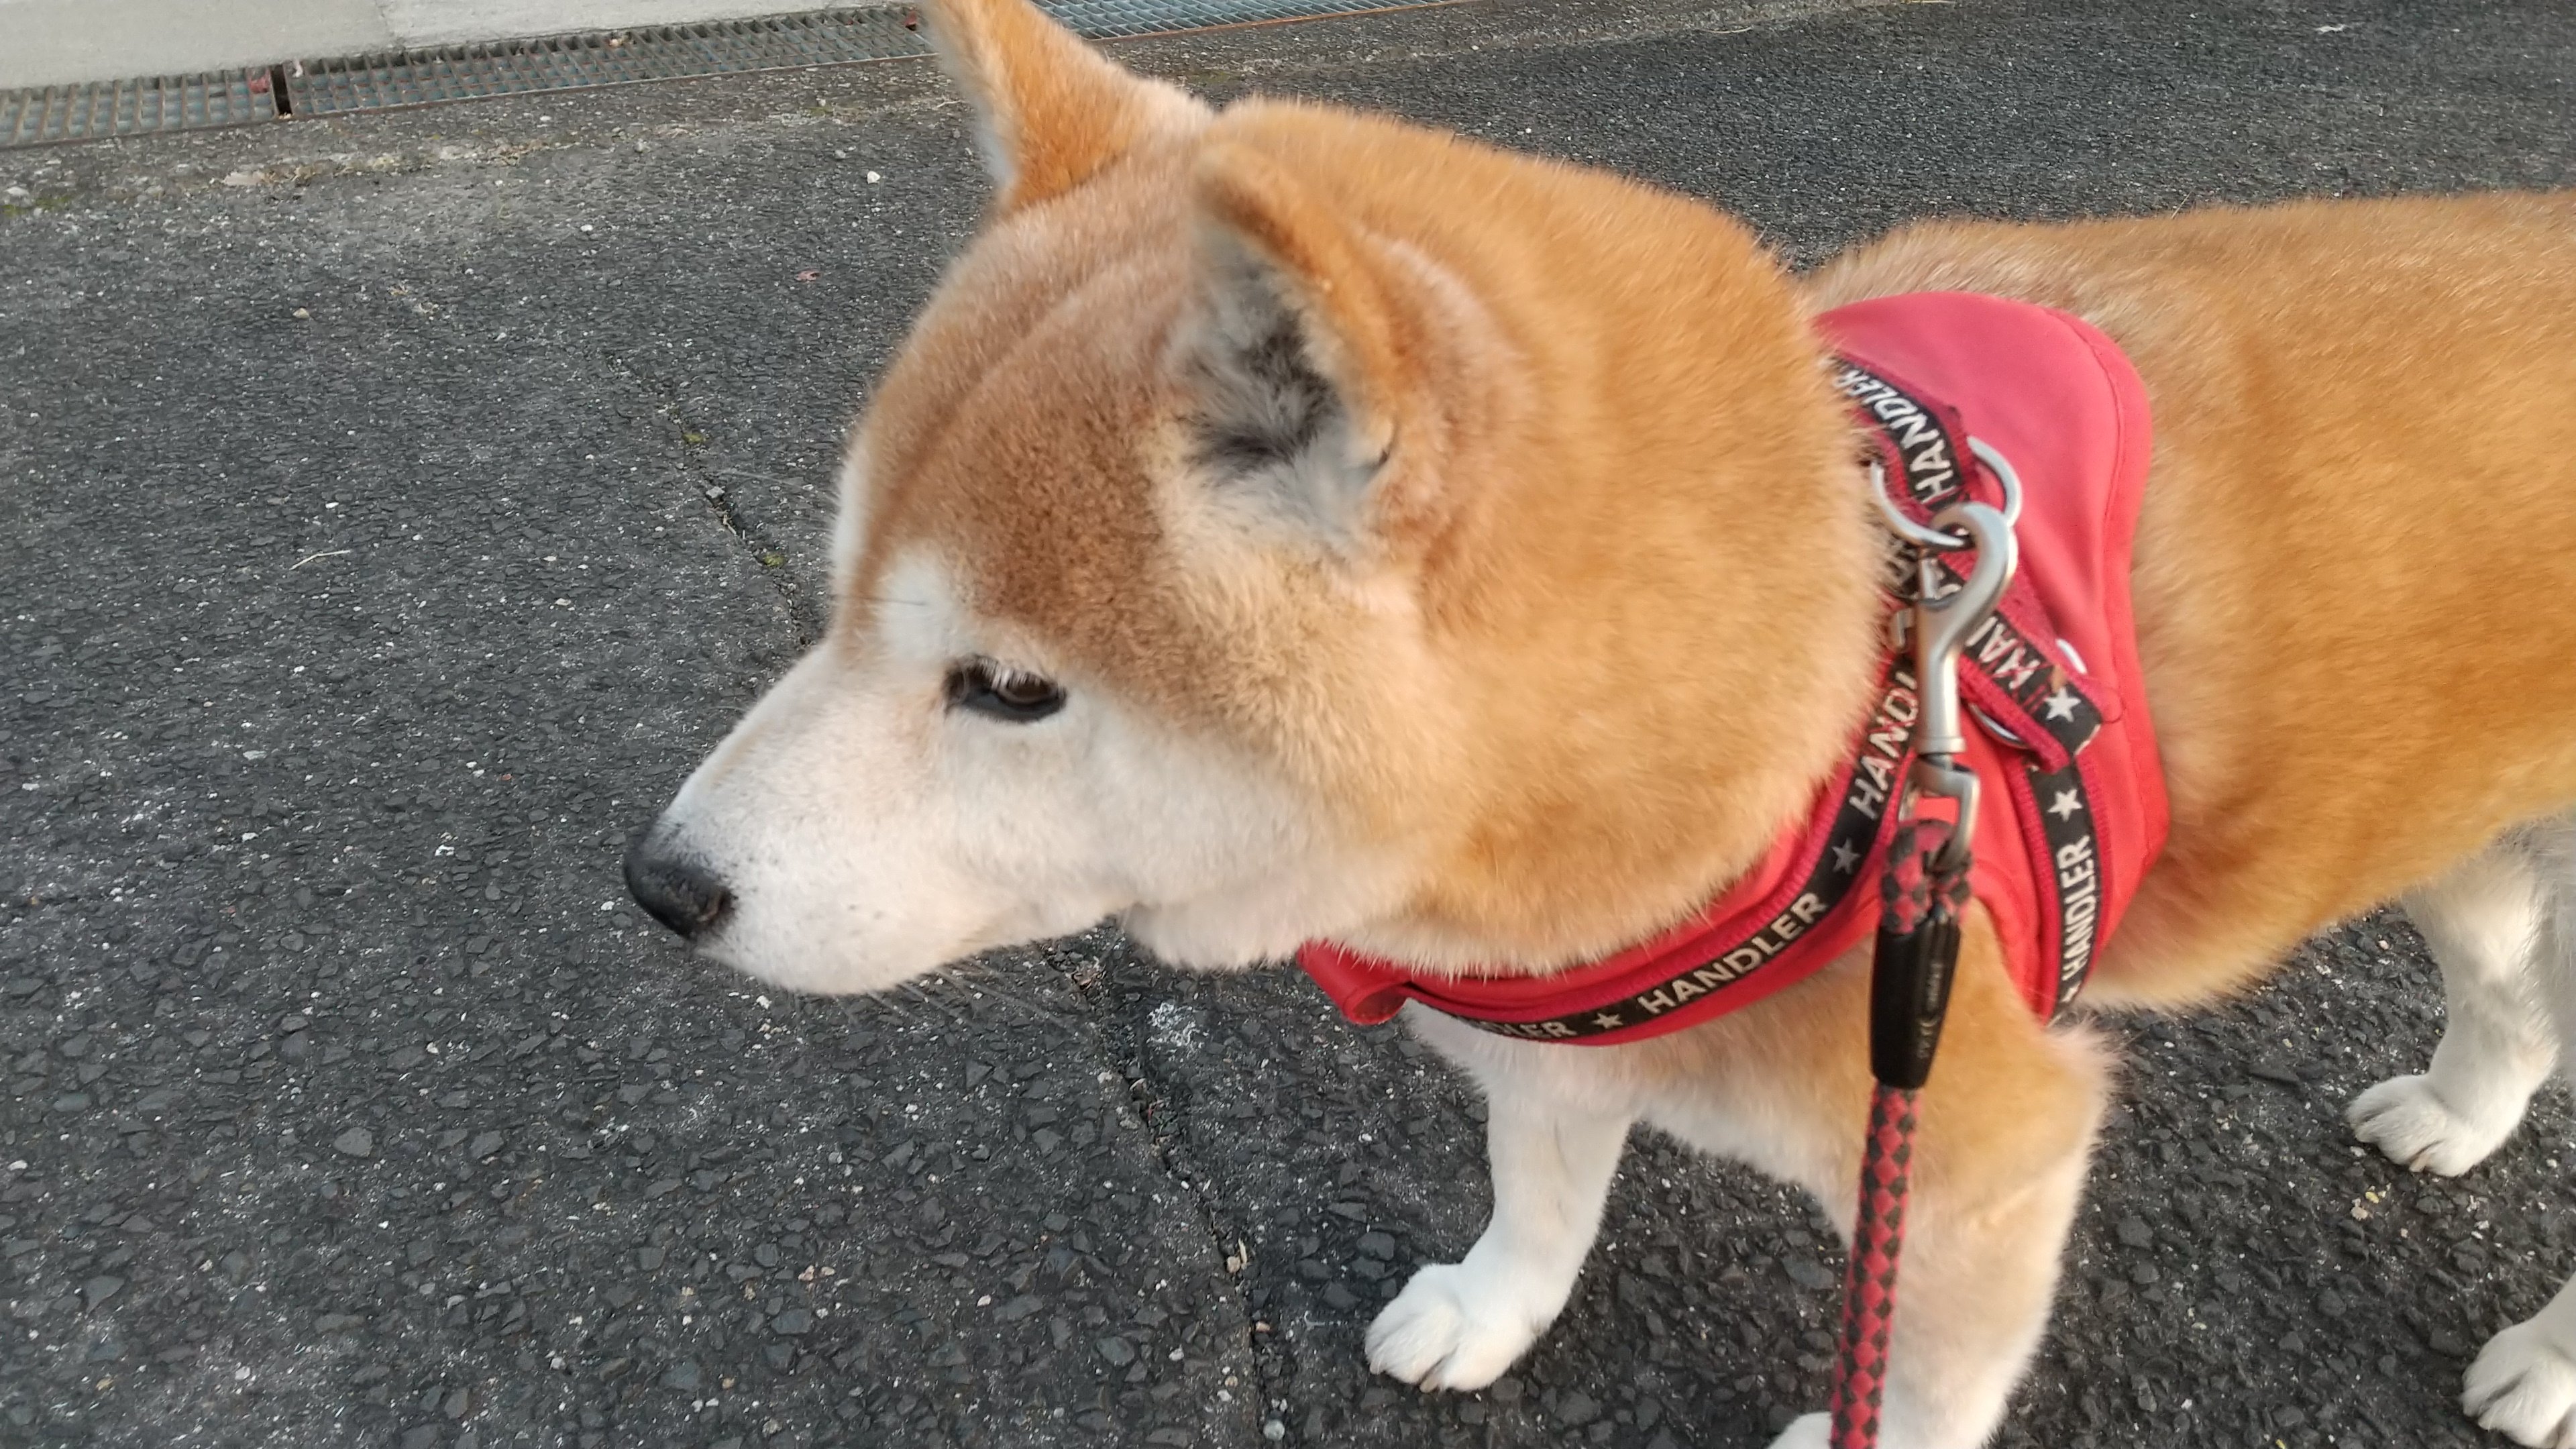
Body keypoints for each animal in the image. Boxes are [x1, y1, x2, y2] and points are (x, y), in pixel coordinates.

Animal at [620, 0, 2576, 1442]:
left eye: (1011, 689)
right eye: (838, 596)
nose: (661, 885)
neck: (1828, 725)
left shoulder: (1979, 1165)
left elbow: (1920, 1388)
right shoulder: (1543, 1030)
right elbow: (1542, 1196)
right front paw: (1493, 1312)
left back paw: (2549, 1363)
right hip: (2448, 838)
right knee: (2510, 992)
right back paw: (2456, 1115)